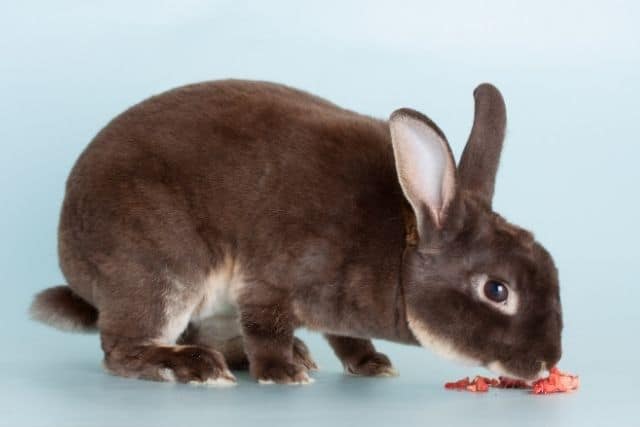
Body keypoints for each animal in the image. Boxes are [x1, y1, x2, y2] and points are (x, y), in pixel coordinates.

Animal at [29, 80, 562, 386]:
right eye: (497, 290)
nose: (548, 363)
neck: (400, 254)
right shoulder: (271, 281)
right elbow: (268, 326)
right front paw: (280, 372)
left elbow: (343, 336)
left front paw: (370, 363)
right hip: (160, 273)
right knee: (120, 347)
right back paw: (193, 366)